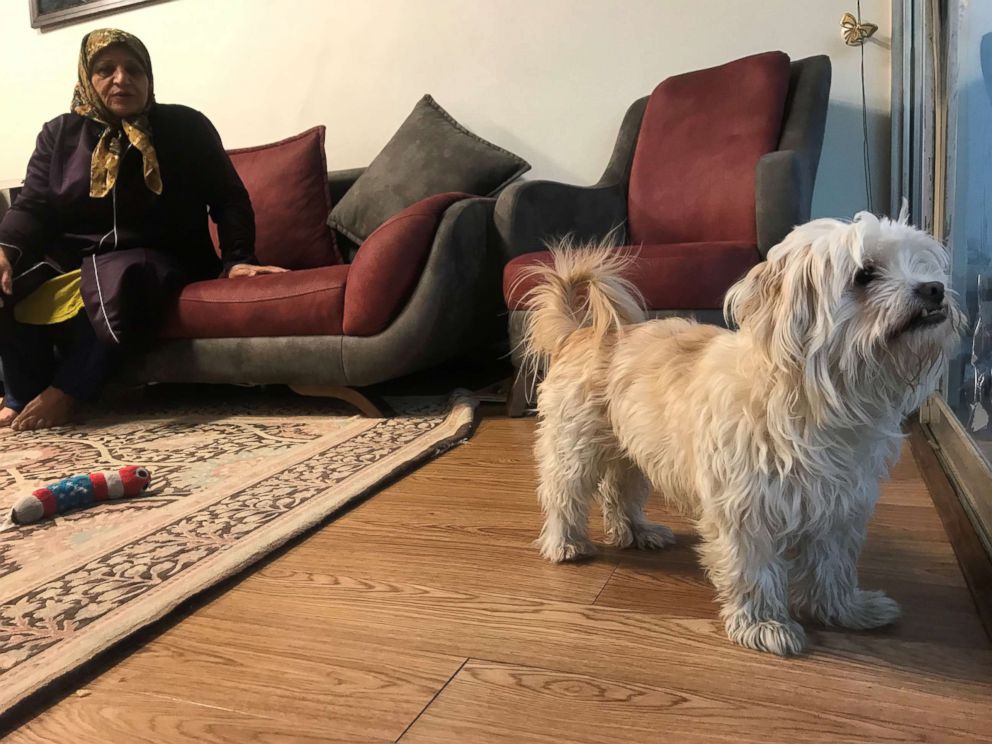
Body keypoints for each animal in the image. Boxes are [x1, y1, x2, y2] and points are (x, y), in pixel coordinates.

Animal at [524, 206, 964, 652]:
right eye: (865, 274)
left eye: (920, 264)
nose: (933, 289)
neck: (817, 400)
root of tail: (580, 332)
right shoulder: (747, 507)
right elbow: (754, 571)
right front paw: (764, 624)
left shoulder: (838, 508)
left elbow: (832, 567)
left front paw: (846, 610)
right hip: (575, 448)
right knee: (563, 495)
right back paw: (565, 544)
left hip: (634, 451)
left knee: (619, 492)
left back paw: (637, 531)